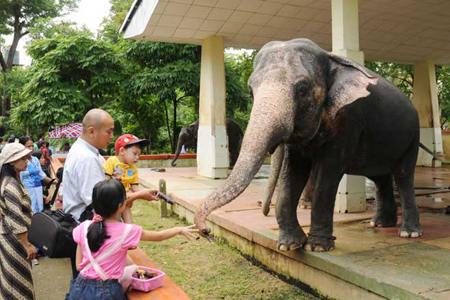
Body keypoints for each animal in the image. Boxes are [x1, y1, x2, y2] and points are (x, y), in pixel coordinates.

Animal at [195, 38, 424, 253]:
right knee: (380, 177)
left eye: (303, 89)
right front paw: (290, 246)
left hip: (413, 135)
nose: (205, 232)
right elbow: (293, 171)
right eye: (251, 91)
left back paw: (408, 232)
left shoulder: (347, 120)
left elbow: (328, 173)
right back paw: (379, 224)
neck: (329, 57)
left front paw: (318, 247)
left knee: (403, 175)